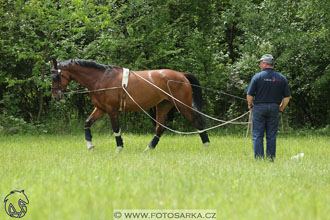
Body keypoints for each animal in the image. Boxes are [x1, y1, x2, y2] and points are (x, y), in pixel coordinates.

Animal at [50, 58, 210, 152]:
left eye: (56, 76)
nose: (55, 96)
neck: (101, 78)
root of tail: (182, 75)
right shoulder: (101, 109)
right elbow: (87, 122)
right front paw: (90, 146)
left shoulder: (112, 110)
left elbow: (116, 129)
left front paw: (119, 148)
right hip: (164, 105)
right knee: (160, 128)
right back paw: (148, 149)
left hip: (183, 105)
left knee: (197, 122)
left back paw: (206, 146)